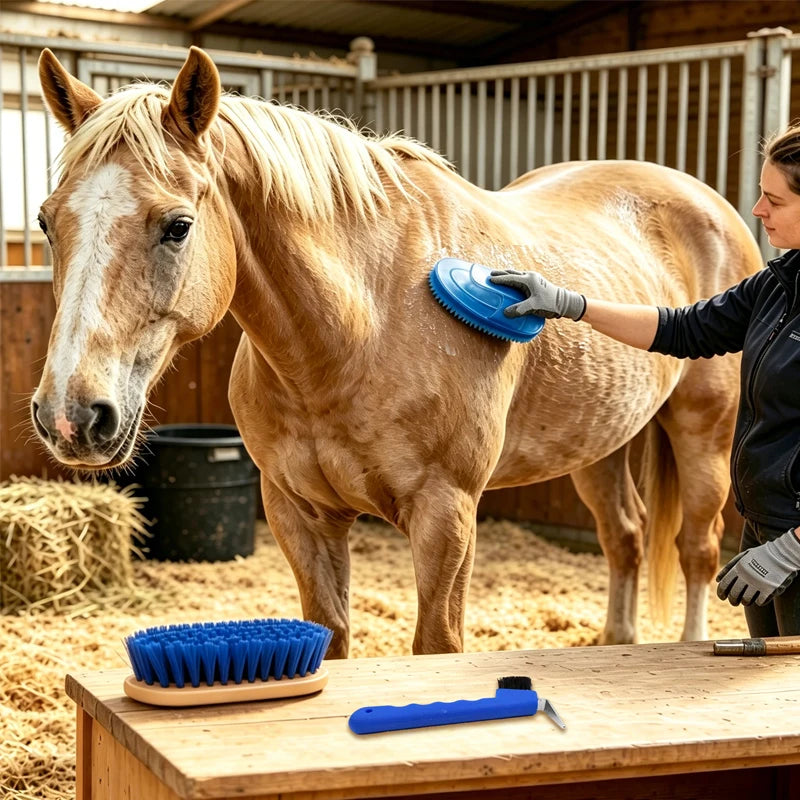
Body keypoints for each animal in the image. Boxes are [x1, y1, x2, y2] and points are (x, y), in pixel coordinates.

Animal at [32, 46, 762, 658]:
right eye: (45, 220)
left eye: (178, 226)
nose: (72, 415)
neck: (359, 330)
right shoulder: (300, 514)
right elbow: (330, 638)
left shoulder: (446, 516)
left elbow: (437, 644)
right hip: (597, 445)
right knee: (627, 538)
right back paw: (617, 642)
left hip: (703, 429)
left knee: (696, 548)